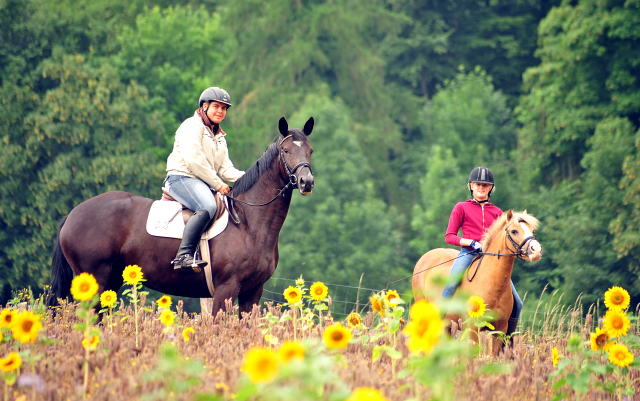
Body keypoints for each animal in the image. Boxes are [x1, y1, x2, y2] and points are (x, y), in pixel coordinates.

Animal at [46, 117, 314, 318]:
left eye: (310, 151)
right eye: (286, 150)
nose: (306, 182)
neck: (248, 223)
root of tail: (72, 214)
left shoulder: (253, 292)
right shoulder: (225, 289)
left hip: (109, 281)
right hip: (94, 281)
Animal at [412, 209, 544, 354]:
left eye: (532, 231)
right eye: (514, 231)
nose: (536, 250)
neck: (492, 285)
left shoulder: (500, 331)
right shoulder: (473, 329)